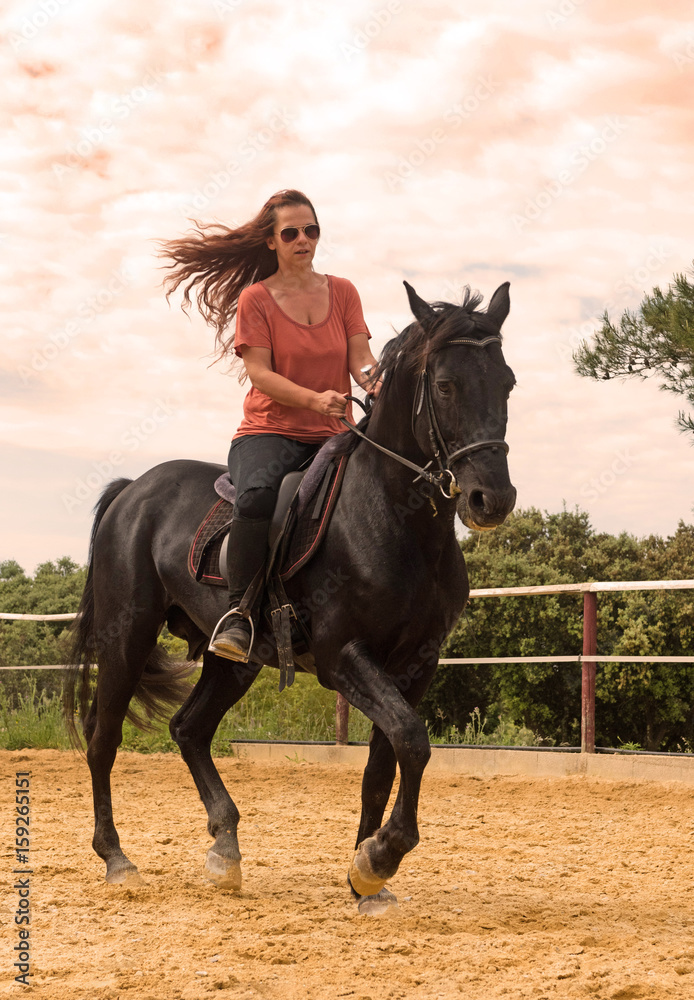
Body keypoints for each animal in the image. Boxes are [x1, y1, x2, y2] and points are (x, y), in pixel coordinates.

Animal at [65, 280, 517, 912]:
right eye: (446, 386)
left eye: (507, 382)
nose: (491, 499)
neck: (395, 519)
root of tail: (134, 491)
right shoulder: (341, 656)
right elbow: (412, 740)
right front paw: (380, 856)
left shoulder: (416, 663)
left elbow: (385, 762)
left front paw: (364, 878)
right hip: (126, 636)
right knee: (103, 737)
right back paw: (116, 858)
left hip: (233, 660)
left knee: (189, 729)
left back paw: (224, 849)